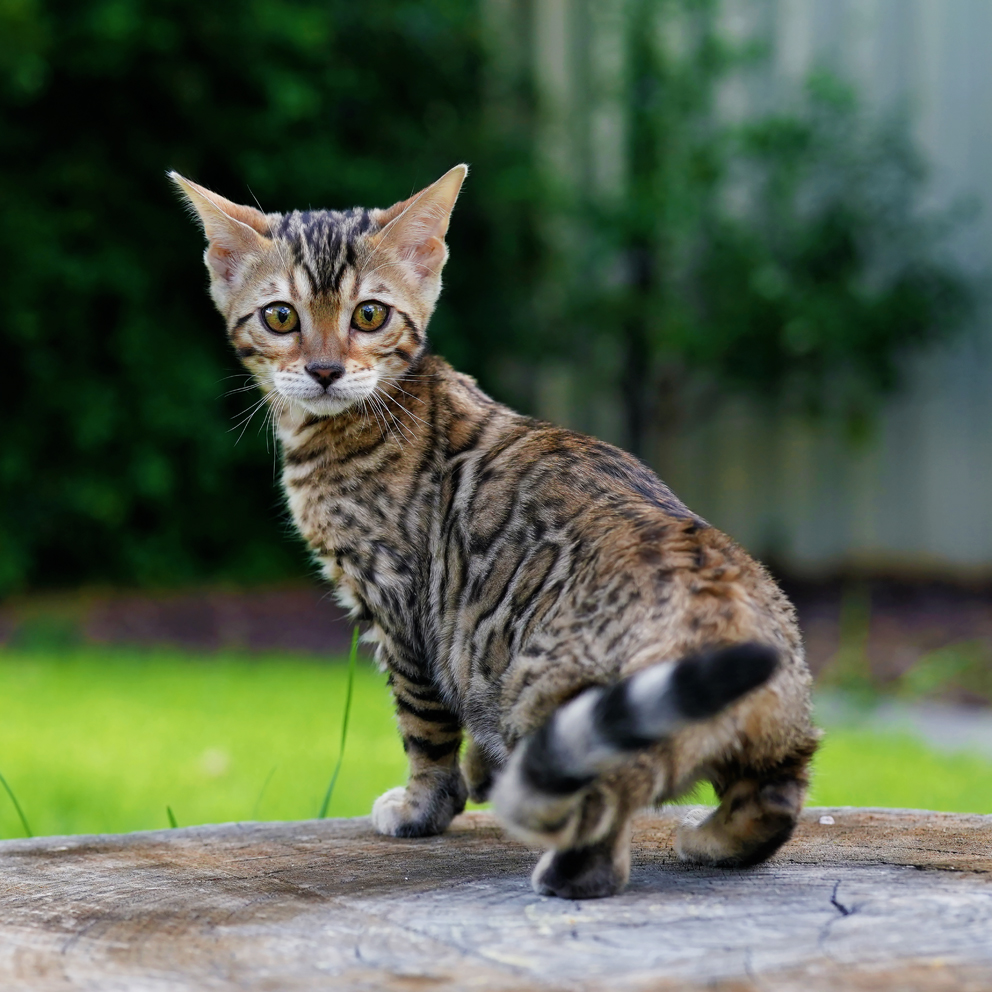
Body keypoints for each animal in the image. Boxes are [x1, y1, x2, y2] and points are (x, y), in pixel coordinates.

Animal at [172, 165, 820, 900]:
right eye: (281, 317)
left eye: (370, 314)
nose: (326, 369)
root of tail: (723, 614)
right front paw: (482, 776)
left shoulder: (401, 608)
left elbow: (422, 726)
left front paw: (422, 806)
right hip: (776, 737)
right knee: (771, 803)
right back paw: (710, 840)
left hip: (567, 708)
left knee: (607, 809)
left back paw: (568, 871)